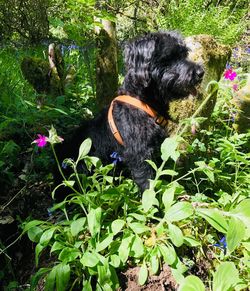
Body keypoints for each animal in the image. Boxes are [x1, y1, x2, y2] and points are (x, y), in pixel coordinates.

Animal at [58, 31, 203, 192]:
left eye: (184, 54)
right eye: (169, 57)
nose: (201, 72)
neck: (144, 102)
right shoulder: (139, 154)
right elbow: (147, 183)